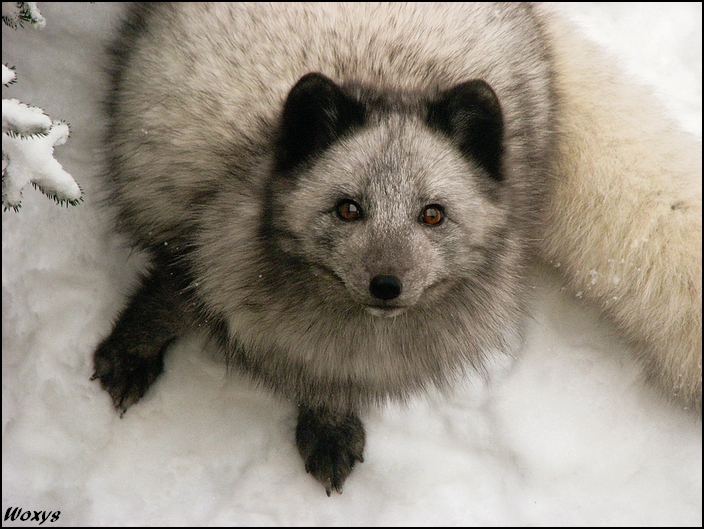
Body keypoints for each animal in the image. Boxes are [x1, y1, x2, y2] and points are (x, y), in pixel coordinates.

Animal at [92, 2, 700, 492]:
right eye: (348, 209)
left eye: (432, 215)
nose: (386, 285)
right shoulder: (189, 234)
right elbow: (164, 298)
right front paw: (130, 353)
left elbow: (339, 384)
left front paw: (329, 423)